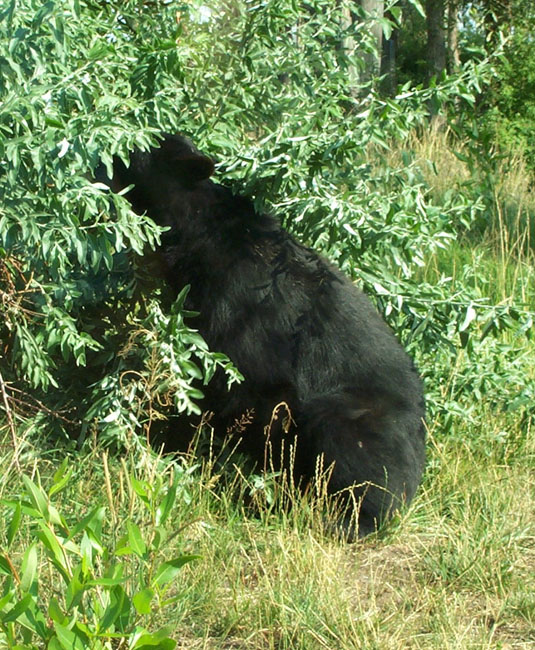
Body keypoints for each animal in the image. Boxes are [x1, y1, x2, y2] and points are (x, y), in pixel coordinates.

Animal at [106, 134, 426, 539]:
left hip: (361, 416)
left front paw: (179, 445)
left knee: (359, 462)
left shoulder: (242, 308)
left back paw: (342, 520)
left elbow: (236, 382)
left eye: (136, 150)